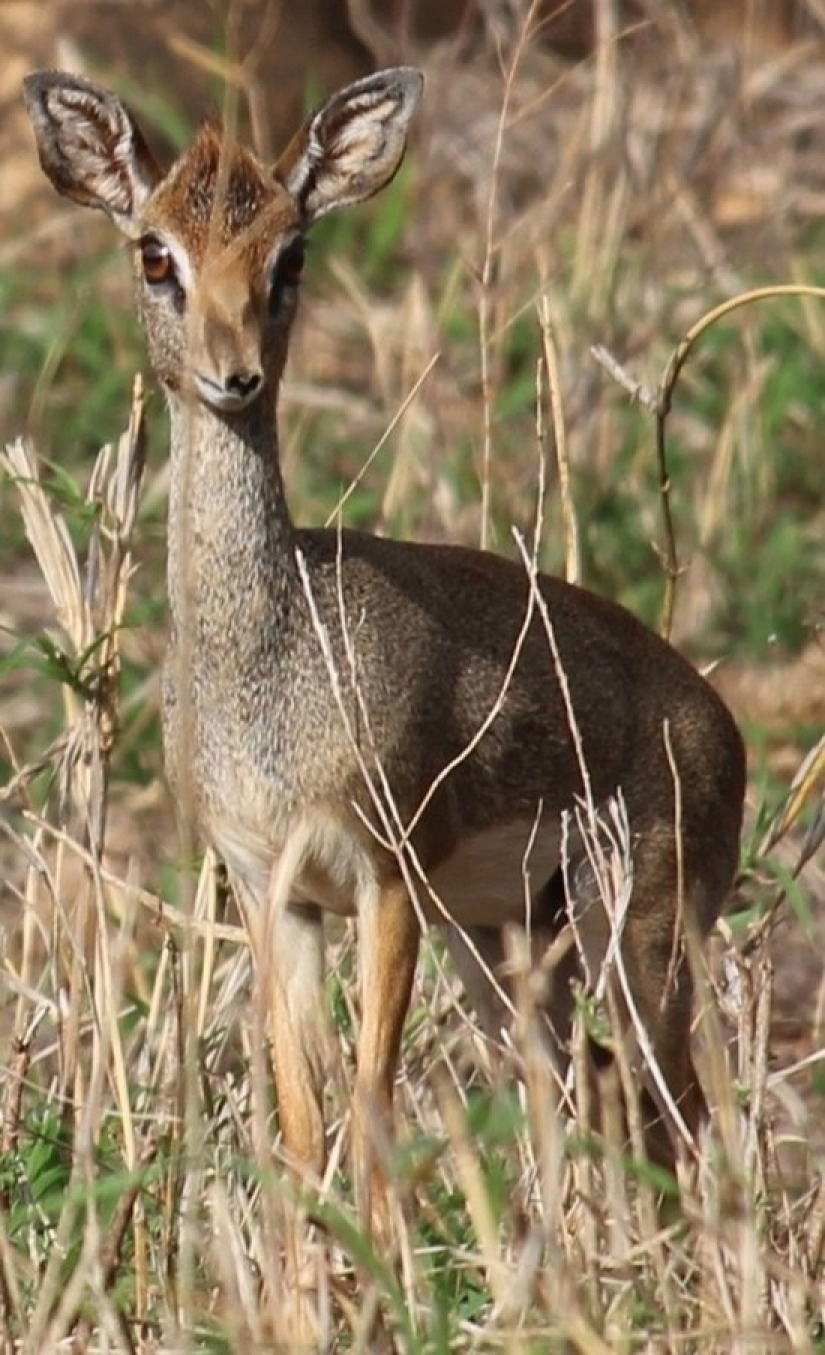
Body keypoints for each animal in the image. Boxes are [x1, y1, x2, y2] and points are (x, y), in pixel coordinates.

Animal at [25, 63, 747, 1252]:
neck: (269, 670)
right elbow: (299, 1111)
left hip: (641, 925)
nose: (234, 375)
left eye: (291, 253)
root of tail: (717, 722)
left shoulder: (385, 869)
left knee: (684, 1111)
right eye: (155, 253)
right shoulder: (269, 885)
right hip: (509, 943)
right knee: (599, 1091)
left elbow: (371, 1095)